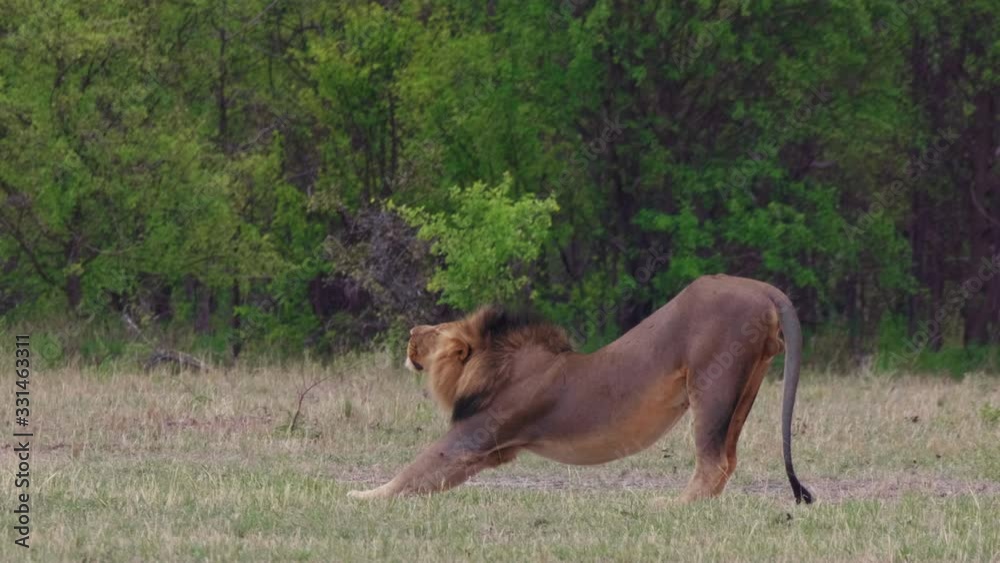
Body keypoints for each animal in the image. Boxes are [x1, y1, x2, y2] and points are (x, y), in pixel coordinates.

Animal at [347, 274, 814, 504]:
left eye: (434, 332)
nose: (412, 331)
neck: (493, 365)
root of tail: (764, 289)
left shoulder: (473, 437)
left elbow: (414, 470)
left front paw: (360, 495)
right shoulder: (489, 452)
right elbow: (428, 479)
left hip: (712, 384)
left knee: (713, 461)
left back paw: (671, 506)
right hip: (746, 384)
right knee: (727, 460)